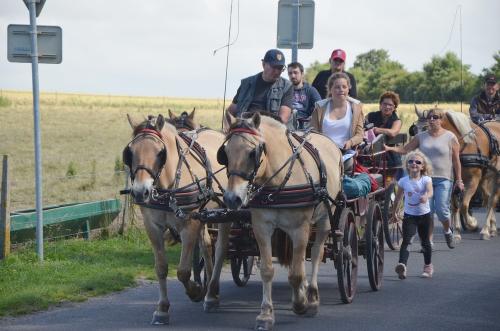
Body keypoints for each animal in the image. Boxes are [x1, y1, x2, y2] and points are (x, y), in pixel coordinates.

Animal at [123, 113, 229, 324]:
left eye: (159, 153)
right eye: (130, 152)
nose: (140, 192)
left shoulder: (189, 225)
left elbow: (183, 271)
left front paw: (195, 291)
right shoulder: (152, 227)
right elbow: (161, 268)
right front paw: (162, 309)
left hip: (224, 213)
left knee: (220, 249)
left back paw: (212, 292)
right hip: (203, 214)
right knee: (207, 247)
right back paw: (210, 294)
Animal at [219, 112, 344, 331]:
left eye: (252, 153)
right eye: (225, 153)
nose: (232, 198)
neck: (278, 180)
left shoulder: (300, 228)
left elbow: (296, 273)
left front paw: (300, 304)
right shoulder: (261, 227)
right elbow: (268, 270)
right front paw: (266, 315)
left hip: (325, 219)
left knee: (316, 252)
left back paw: (312, 297)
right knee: (300, 260)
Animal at [412, 108, 498, 241]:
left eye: (426, 128)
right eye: (414, 130)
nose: (418, 158)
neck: (463, 144)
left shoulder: (473, 180)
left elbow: (464, 205)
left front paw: (472, 223)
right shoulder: (453, 182)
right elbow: (455, 206)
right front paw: (456, 232)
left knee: (492, 200)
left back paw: (485, 230)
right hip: (485, 178)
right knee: (487, 198)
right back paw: (491, 228)